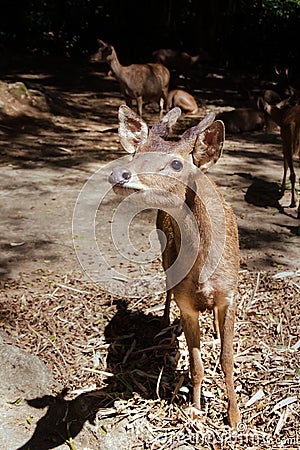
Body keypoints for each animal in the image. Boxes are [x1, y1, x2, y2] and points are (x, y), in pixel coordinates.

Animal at [108, 103, 241, 428]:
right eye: (135, 152)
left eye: (177, 164)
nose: (119, 173)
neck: (205, 271)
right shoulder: (187, 303)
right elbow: (196, 363)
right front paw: (195, 410)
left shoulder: (230, 294)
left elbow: (227, 360)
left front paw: (234, 418)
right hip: (163, 251)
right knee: (167, 287)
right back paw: (164, 322)